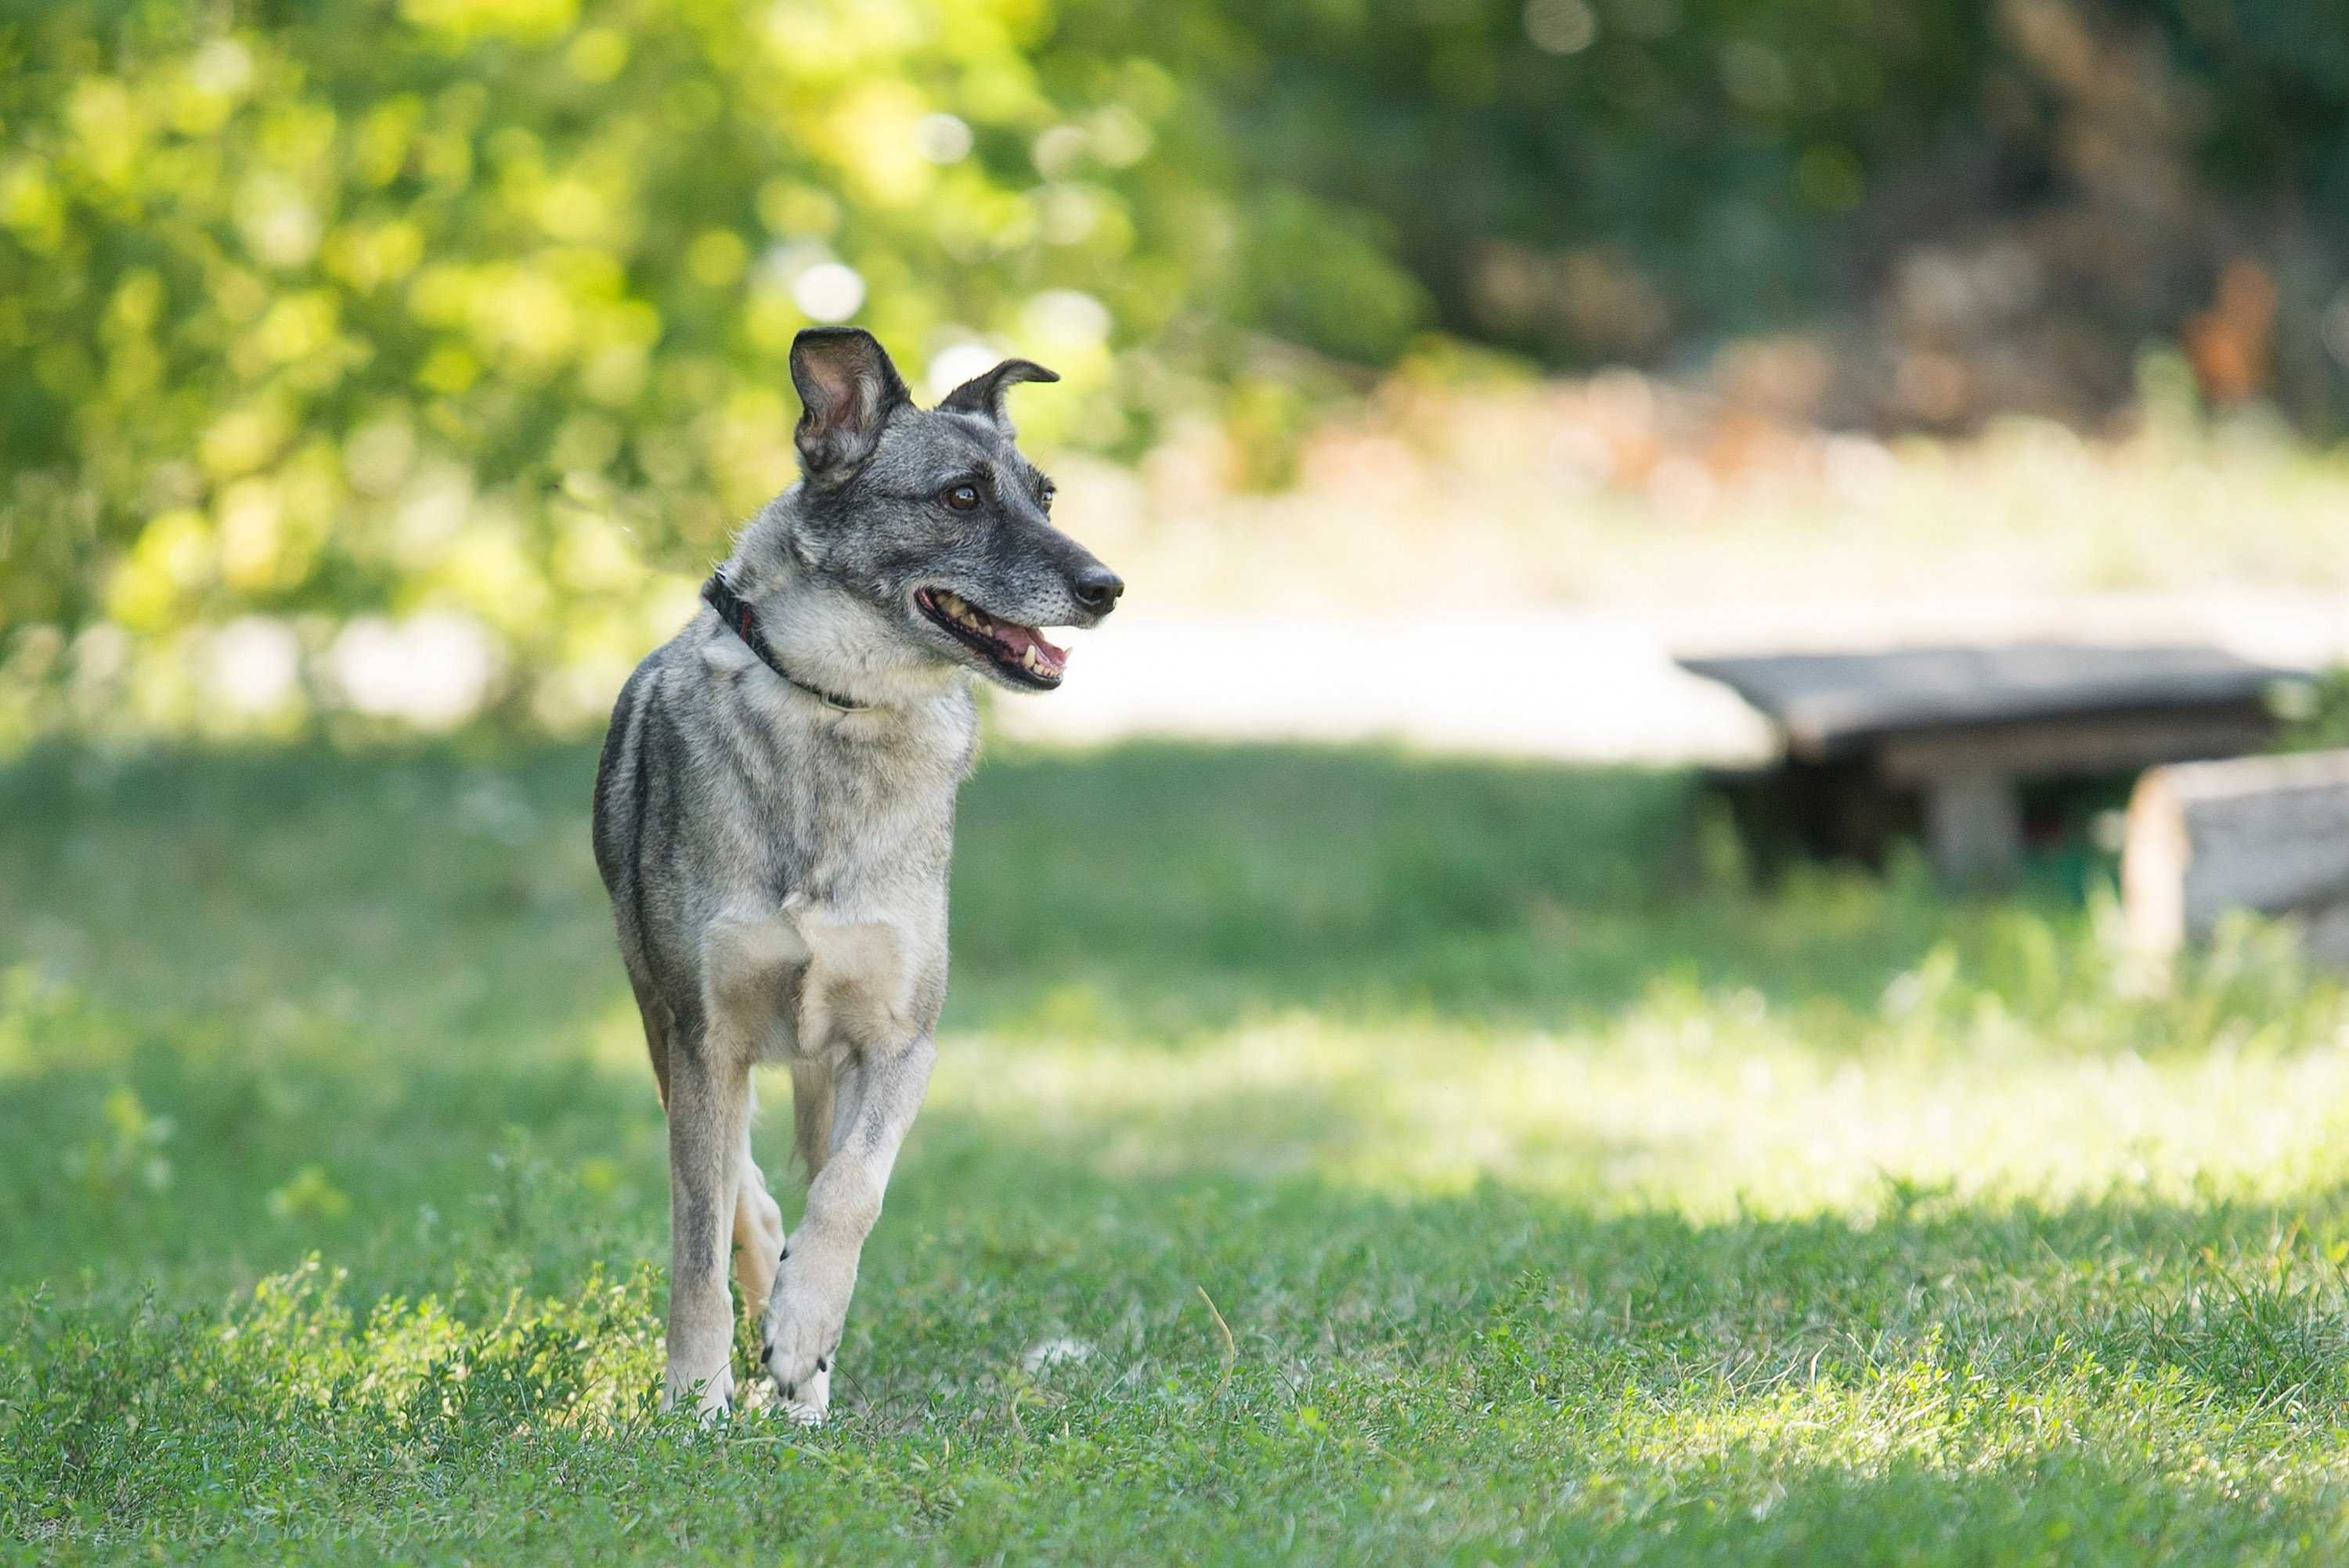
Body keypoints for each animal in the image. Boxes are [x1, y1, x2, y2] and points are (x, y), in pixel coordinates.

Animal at [597, 328, 1128, 1418]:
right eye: (962, 496)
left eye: (1045, 496)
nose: (1107, 587)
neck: (837, 705)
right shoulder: (703, 1033)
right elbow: (698, 1237)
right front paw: (696, 1394)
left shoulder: (897, 1040)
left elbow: (852, 1189)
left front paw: (805, 1341)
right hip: (664, 1028)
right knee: (735, 1185)